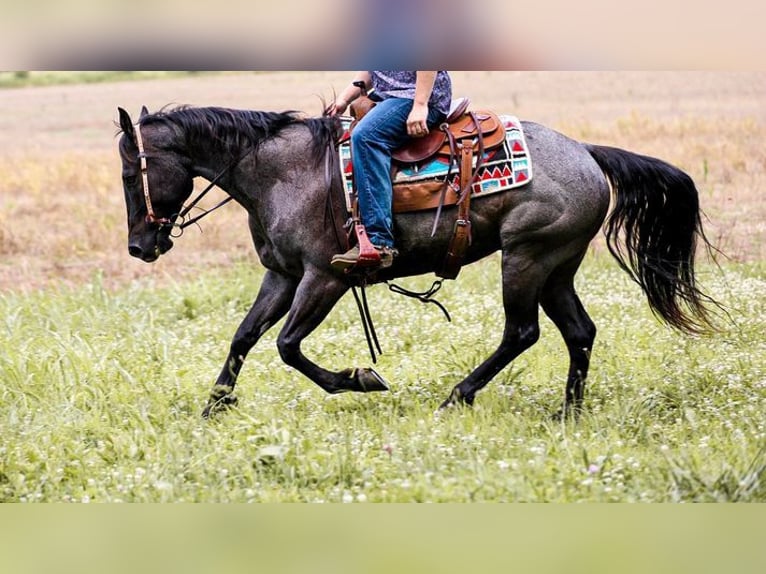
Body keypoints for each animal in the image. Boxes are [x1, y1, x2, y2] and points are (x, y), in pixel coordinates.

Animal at [115, 104, 720, 418]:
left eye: (128, 173)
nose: (140, 247)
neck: (287, 173)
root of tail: (588, 153)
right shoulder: (282, 275)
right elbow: (244, 336)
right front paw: (214, 406)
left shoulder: (325, 277)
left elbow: (287, 345)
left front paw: (360, 379)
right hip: (557, 267)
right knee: (580, 331)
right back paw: (567, 412)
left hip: (527, 257)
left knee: (522, 332)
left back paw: (460, 394)